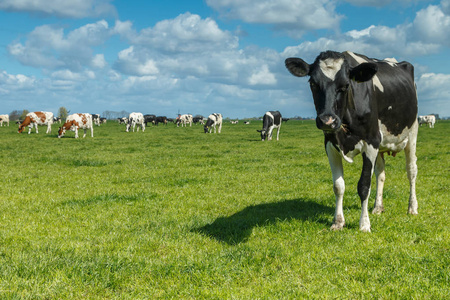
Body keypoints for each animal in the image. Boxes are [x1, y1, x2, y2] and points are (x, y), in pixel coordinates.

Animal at [286, 49, 420, 232]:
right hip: (381, 143)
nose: (327, 120)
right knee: (380, 173)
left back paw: (412, 207)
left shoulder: (371, 142)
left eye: (345, 85)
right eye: (313, 83)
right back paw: (378, 207)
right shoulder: (330, 145)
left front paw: (364, 224)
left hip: (412, 133)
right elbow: (338, 186)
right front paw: (338, 222)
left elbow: (364, 185)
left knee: (411, 171)